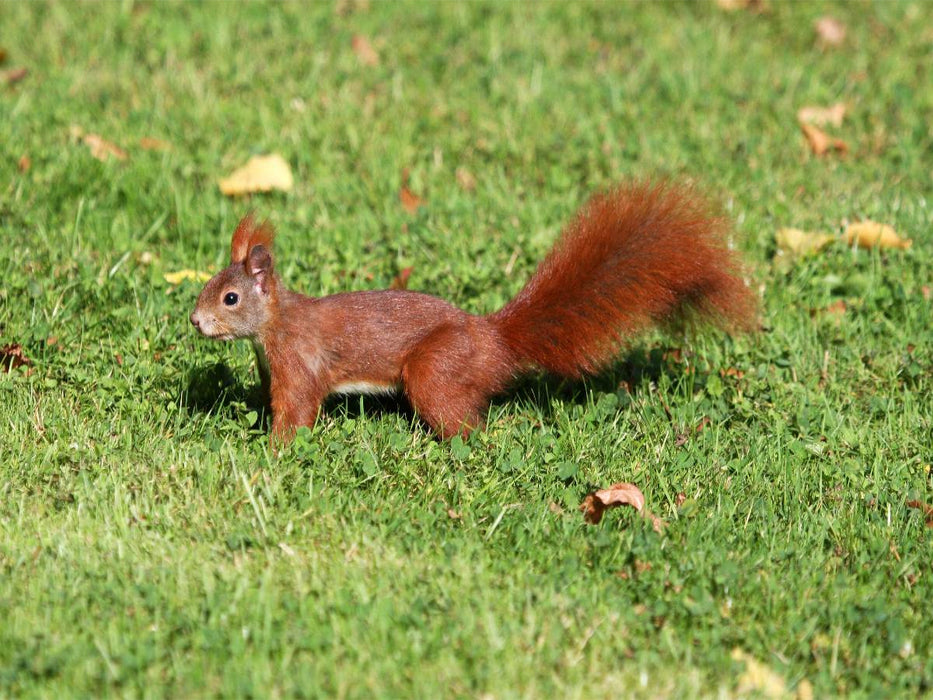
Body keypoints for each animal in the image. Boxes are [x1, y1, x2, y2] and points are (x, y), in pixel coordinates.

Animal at [190, 181, 755, 443]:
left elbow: (298, 411)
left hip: (434, 369)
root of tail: (493, 341)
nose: (195, 321)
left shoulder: (300, 364)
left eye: (230, 298)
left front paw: (273, 450)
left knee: (465, 424)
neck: (276, 325)